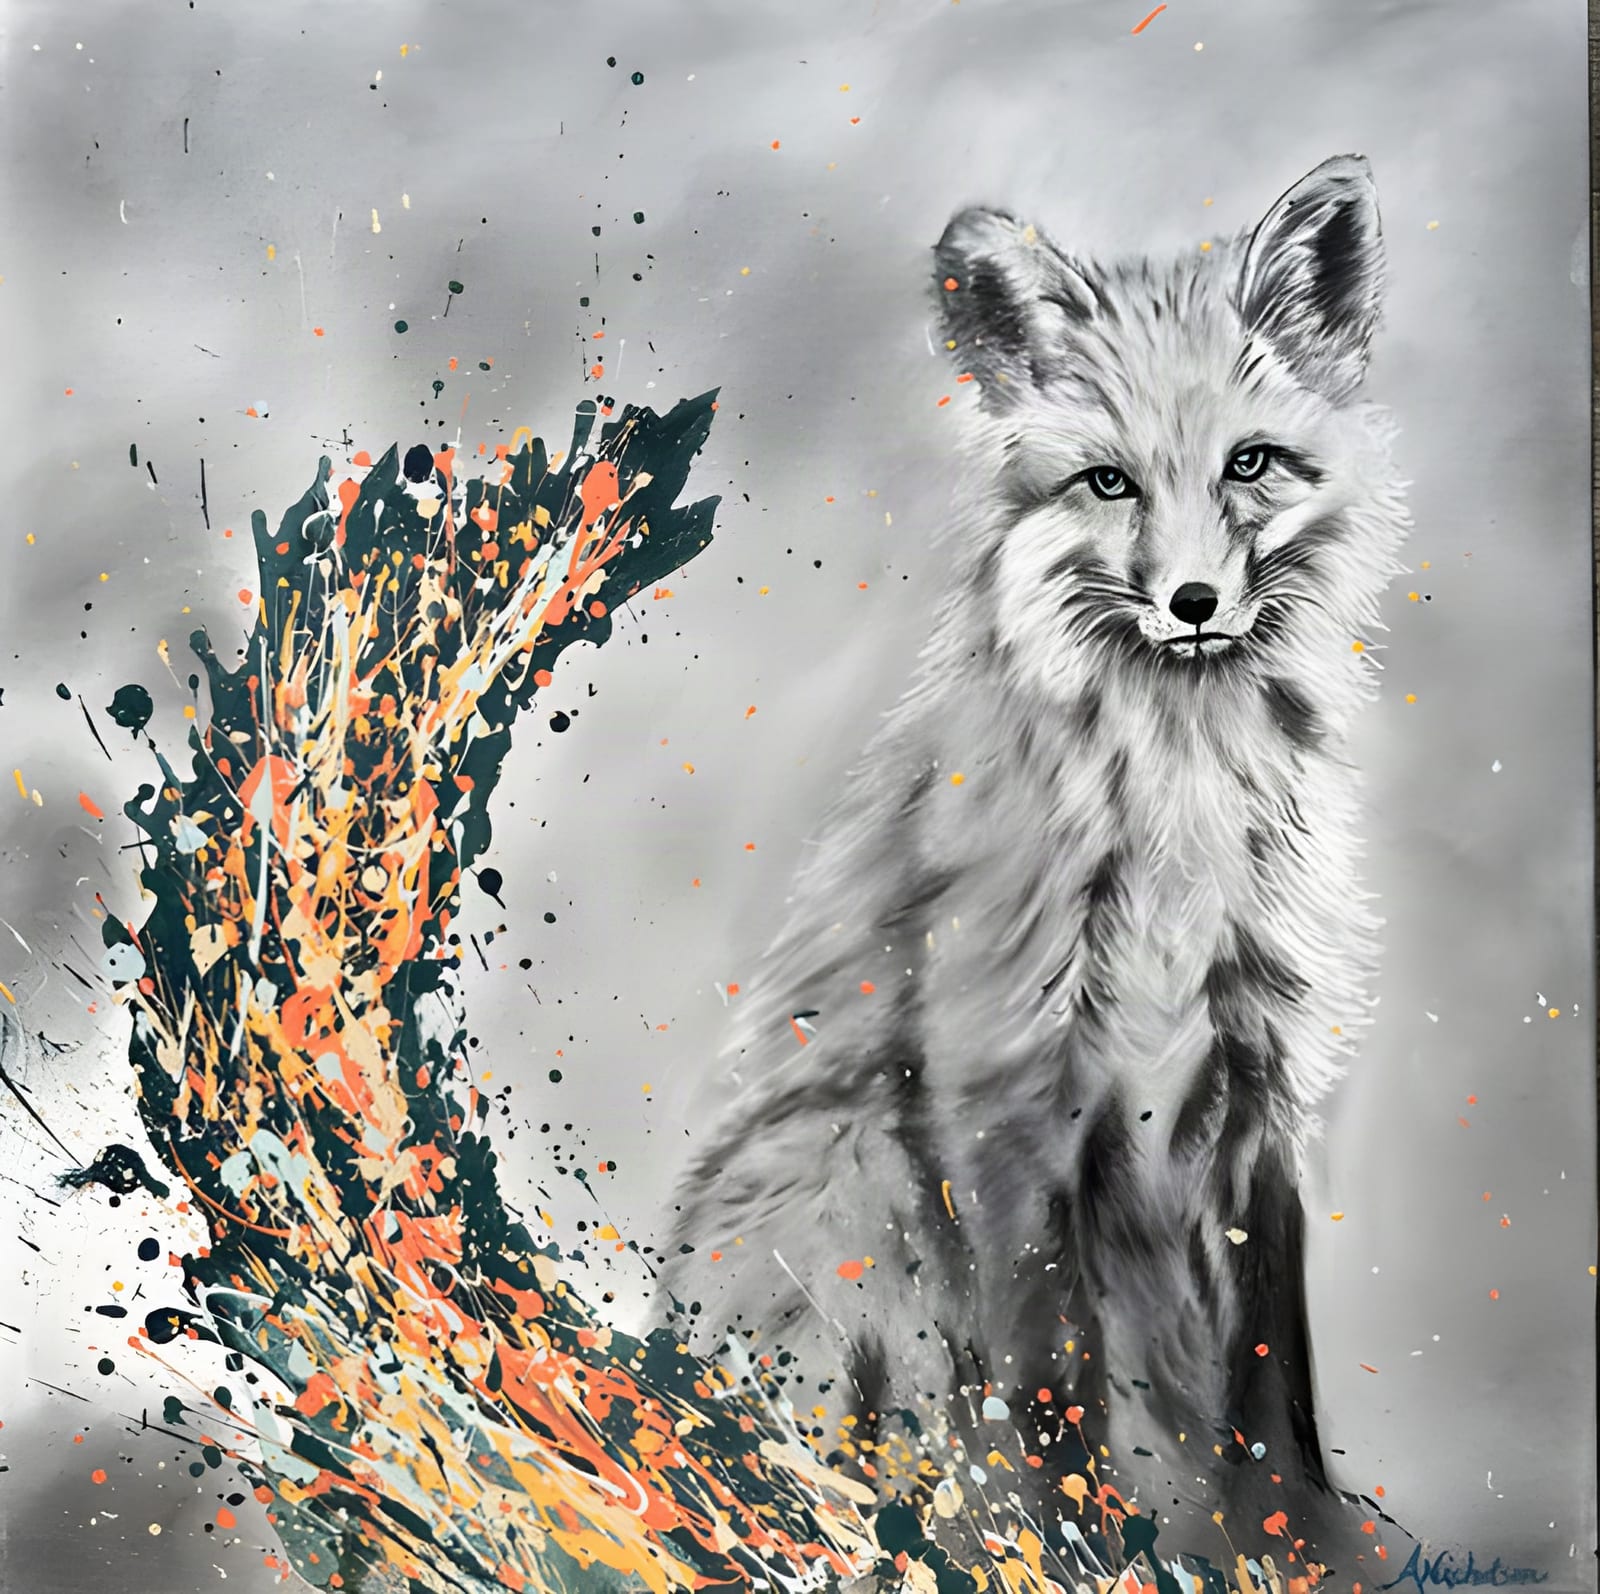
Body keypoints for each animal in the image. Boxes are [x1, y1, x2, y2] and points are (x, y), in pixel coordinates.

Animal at [661, 155, 1410, 1567]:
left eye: (1249, 464)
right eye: (1108, 483)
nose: (1191, 605)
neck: (1176, 813)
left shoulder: (1258, 1088)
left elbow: (1270, 1389)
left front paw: (1285, 1544)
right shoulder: (1005, 1086)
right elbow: (1043, 1380)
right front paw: (1064, 1546)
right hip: (857, 1178)